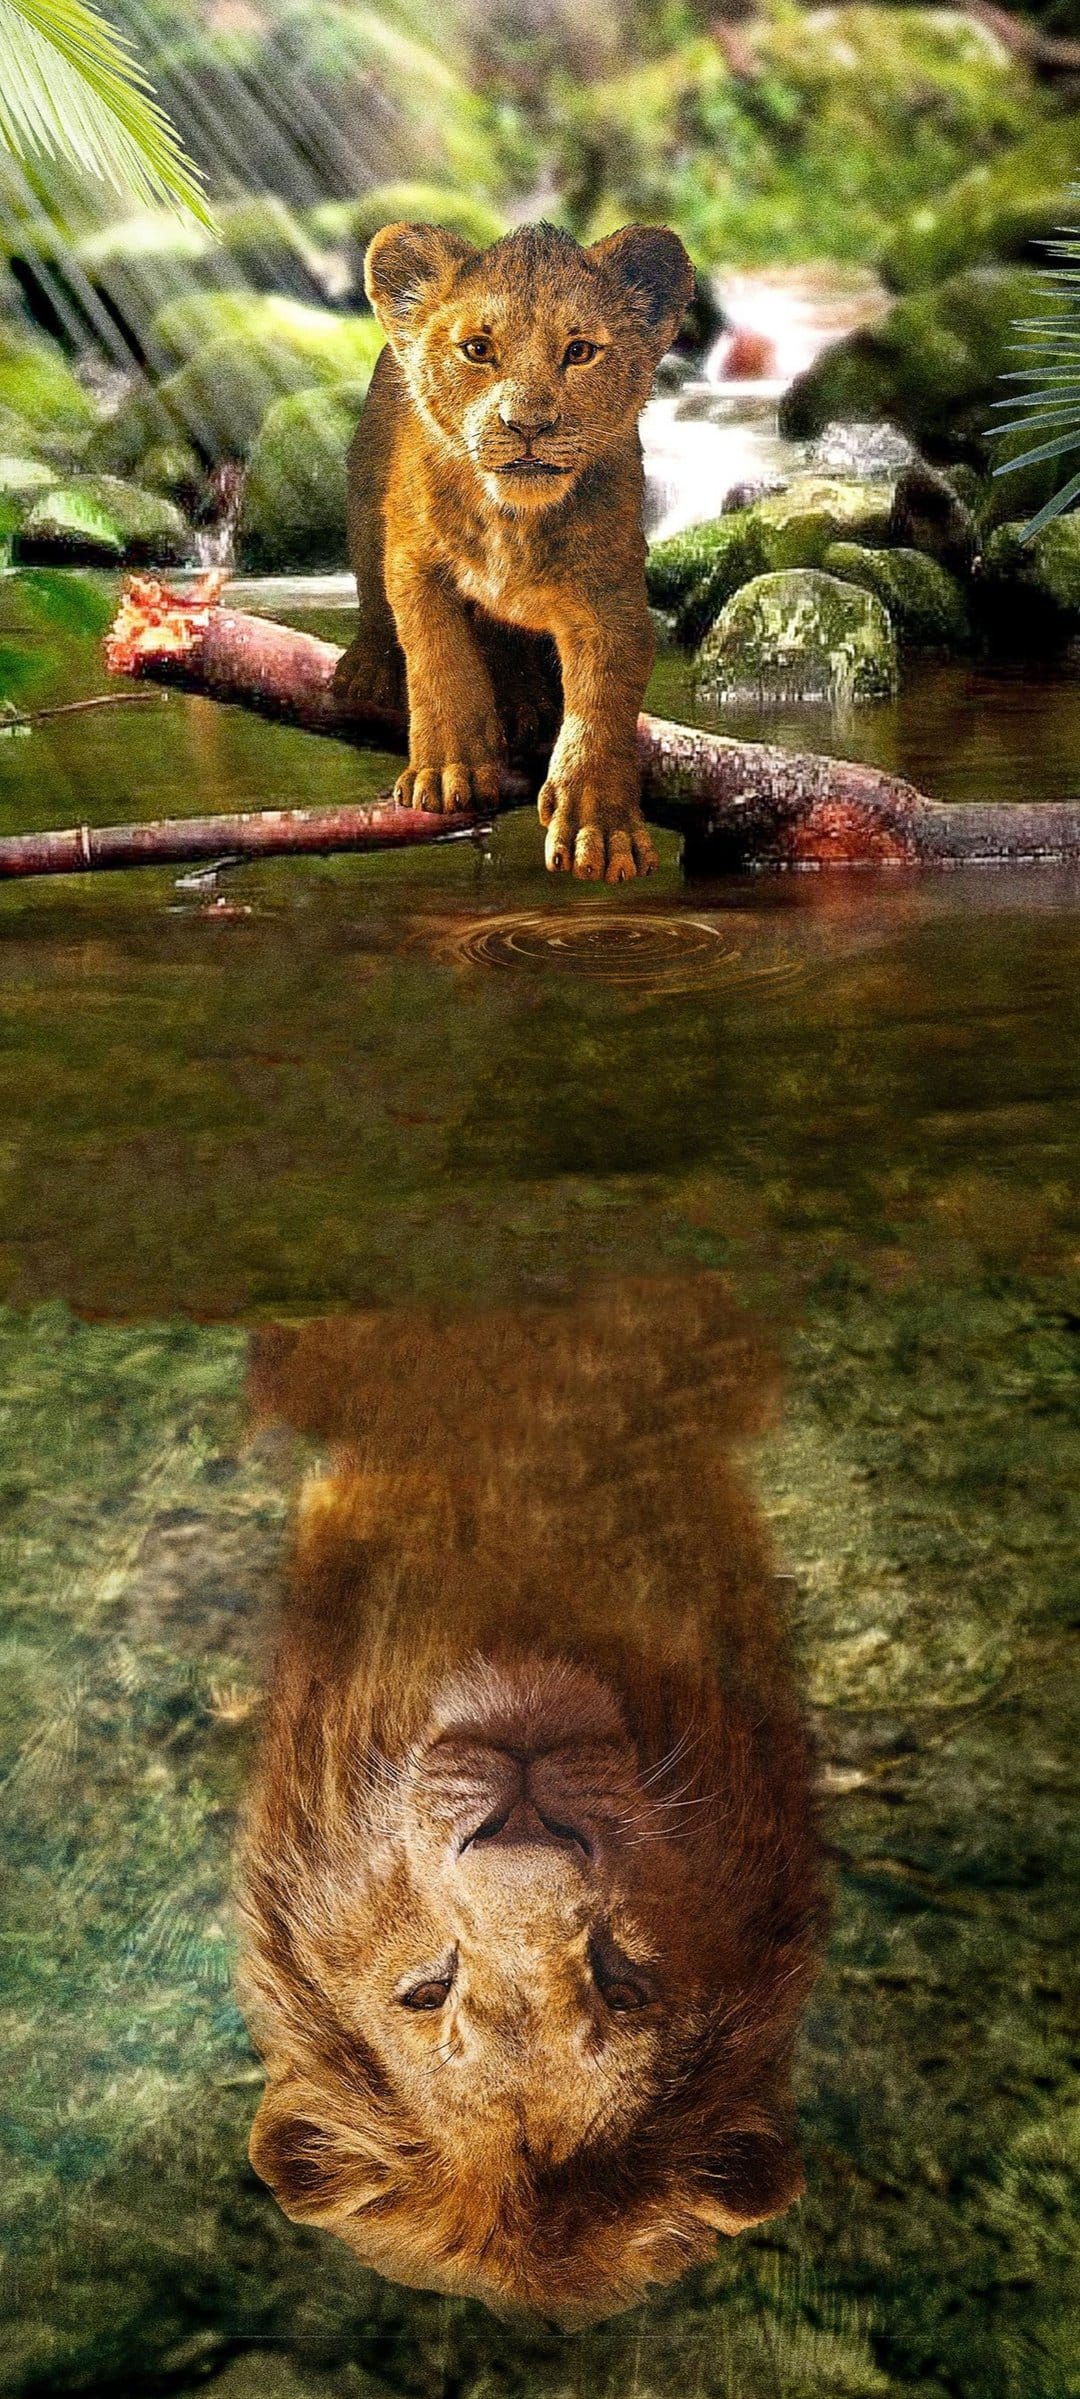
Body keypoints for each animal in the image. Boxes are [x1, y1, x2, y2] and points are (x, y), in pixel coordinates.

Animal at [333, 218, 695, 883]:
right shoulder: (414, 559)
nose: (527, 425)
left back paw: (532, 702)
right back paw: (368, 669)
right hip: (365, 492)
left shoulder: (611, 594)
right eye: (478, 349)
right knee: (374, 597)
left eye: (579, 351)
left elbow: (603, 703)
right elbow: (439, 657)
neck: (514, 521)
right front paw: (448, 769)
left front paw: (599, 827)